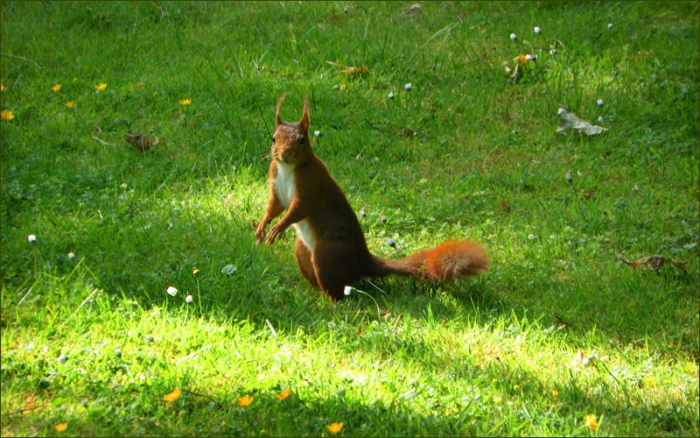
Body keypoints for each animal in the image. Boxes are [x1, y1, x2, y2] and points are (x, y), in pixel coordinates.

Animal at [255, 93, 489, 301]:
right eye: (273, 138)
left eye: (302, 140)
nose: (284, 154)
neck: (288, 169)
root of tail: (363, 262)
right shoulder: (275, 182)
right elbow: (275, 206)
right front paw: (263, 225)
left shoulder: (312, 183)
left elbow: (300, 208)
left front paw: (279, 226)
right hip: (303, 250)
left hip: (326, 253)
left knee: (339, 290)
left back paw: (331, 302)